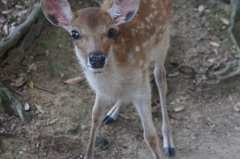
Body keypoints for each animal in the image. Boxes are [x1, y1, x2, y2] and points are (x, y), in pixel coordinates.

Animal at [39, 0, 174, 158]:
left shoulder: (142, 85)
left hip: (163, 41)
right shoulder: (101, 90)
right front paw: (88, 154)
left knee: (160, 77)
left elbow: (150, 136)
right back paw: (111, 114)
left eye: (111, 31)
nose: (97, 59)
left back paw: (168, 142)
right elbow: (95, 115)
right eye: (74, 33)